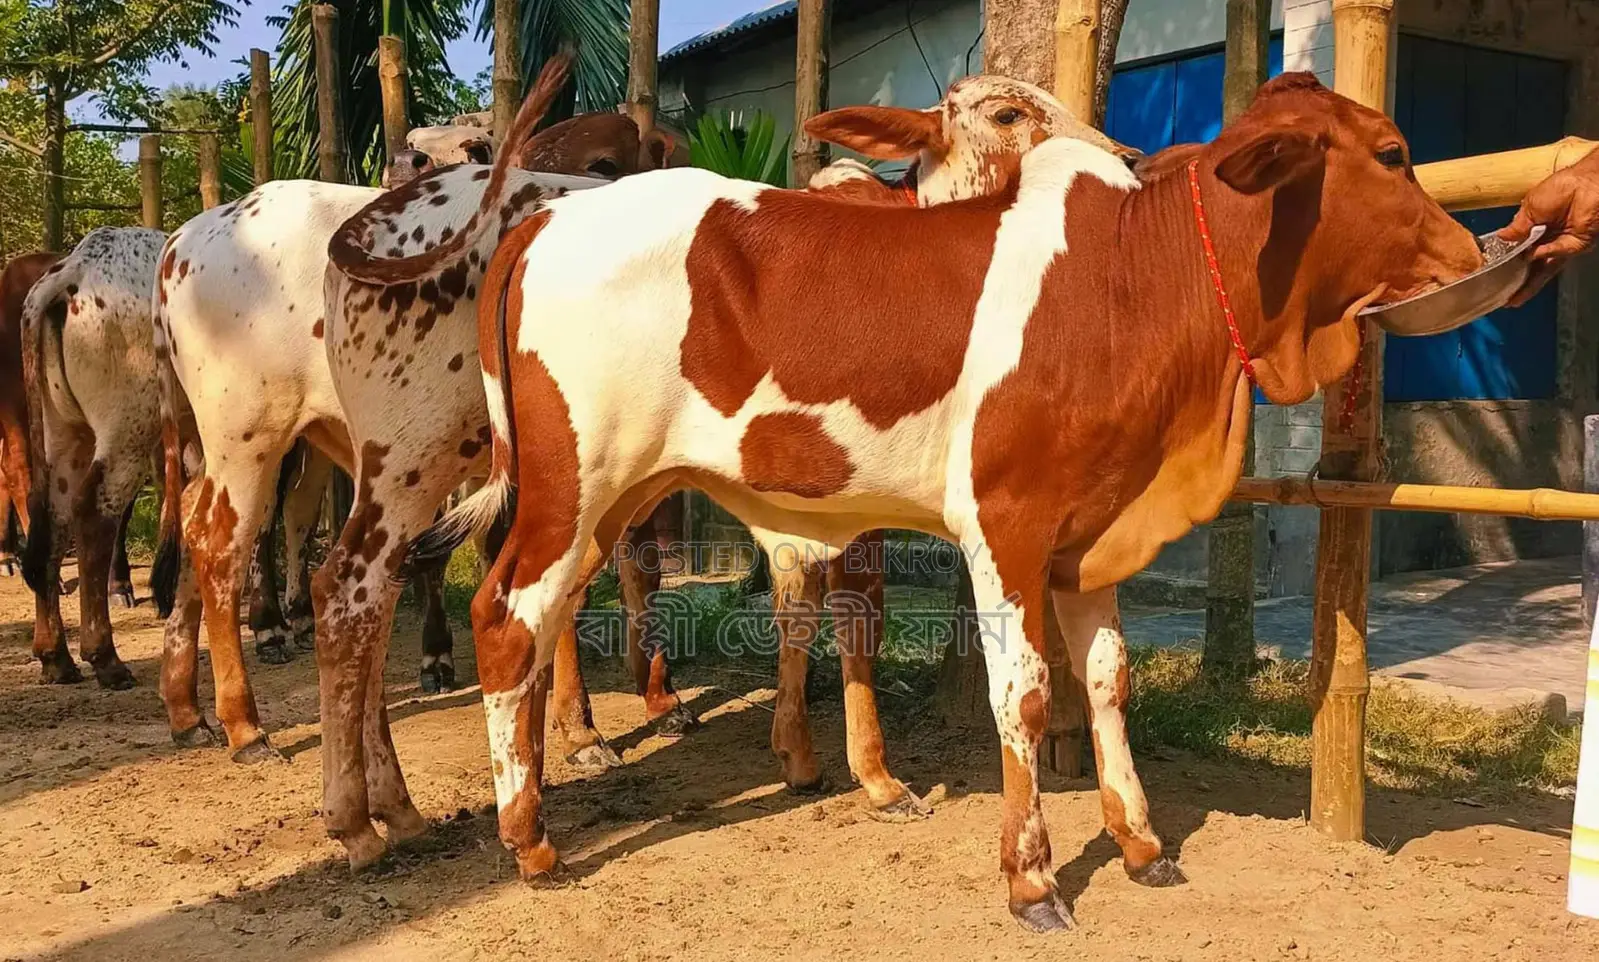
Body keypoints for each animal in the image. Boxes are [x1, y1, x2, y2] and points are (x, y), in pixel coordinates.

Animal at [16, 229, 168, 689]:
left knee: (50, 518)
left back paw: (55, 656)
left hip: (66, 435)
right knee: (94, 515)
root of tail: (76, 268)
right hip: (126, 430)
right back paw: (104, 656)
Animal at [314, 57, 1145, 870]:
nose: (1126, 160)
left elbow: (796, 605)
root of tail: (538, 224)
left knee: (494, 600)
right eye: (1008, 113)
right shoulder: (868, 493)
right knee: (425, 600)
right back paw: (465, 826)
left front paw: (799, 753)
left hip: (570, 487)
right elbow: (857, 618)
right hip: (482, 467)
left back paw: (485, 779)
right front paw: (875, 776)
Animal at [409, 72, 1484, 931]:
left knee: (539, 623)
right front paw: (1032, 878)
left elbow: (1107, 679)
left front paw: (1139, 843)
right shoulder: (1003, 523)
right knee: (506, 618)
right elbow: (1026, 692)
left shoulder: (1092, 529)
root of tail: (543, 219)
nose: (1472, 252)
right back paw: (529, 839)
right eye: (1392, 154)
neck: (1133, 283)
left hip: (611, 495)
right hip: (573, 484)